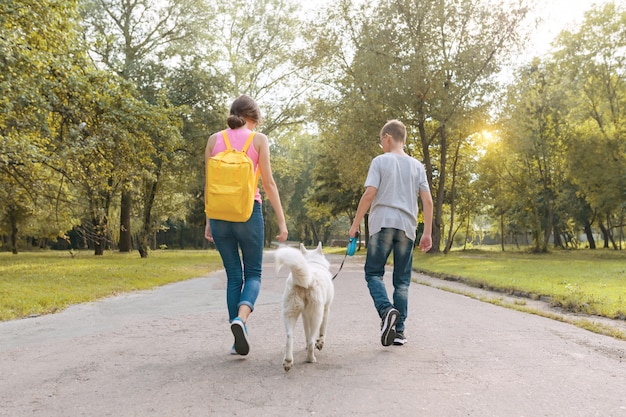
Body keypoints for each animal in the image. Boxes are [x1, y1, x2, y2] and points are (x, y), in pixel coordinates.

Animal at [272, 240, 332, 370]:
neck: (313, 262)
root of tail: (307, 280)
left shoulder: (304, 316)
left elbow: (306, 333)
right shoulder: (326, 310)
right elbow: (322, 331)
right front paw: (320, 343)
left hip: (290, 313)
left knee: (289, 337)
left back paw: (288, 361)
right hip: (316, 315)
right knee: (311, 340)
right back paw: (310, 359)